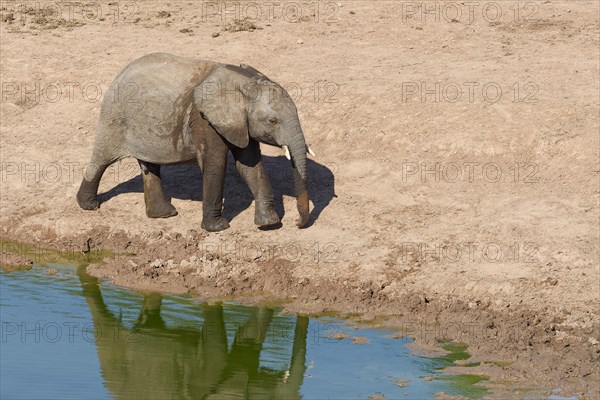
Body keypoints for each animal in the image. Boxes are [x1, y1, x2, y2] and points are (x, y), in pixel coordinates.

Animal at [77, 53, 316, 231]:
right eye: (272, 121)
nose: (297, 223)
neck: (245, 82)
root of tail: (120, 73)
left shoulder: (241, 123)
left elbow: (250, 165)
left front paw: (269, 224)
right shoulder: (204, 119)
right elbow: (216, 164)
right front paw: (218, 228)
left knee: (149, 166)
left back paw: (164, 215)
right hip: (114, 117)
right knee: (102, 159)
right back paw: (89, 205)